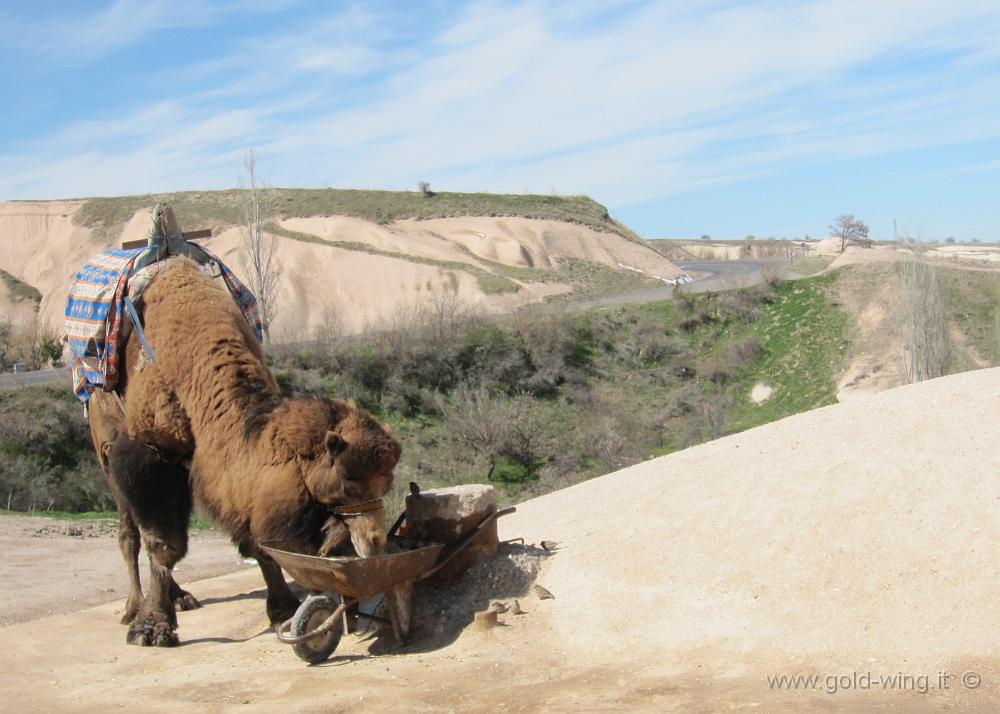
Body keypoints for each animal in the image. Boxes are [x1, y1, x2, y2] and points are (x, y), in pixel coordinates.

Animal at [90, 260, 400, 644]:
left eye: (386, 483)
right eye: (347, 484)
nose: (374, 542)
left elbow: (255, 541)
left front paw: (283, 608)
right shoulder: (149, 451)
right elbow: (163, 543)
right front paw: (152, 628)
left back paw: (180, 597)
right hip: (106, 447)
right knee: (129, 533)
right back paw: (136, 608)